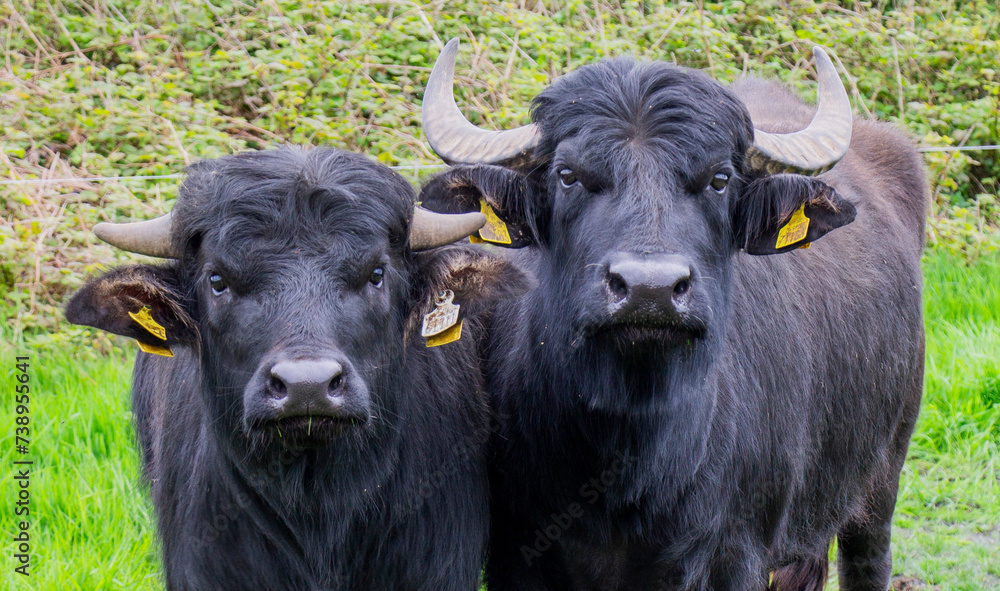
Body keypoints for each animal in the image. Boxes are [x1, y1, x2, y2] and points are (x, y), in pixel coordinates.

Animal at [419, 39, 927, 591]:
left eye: (720, 179)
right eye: (568, 175)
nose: (650, 290)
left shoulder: (736, 556)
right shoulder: (518, 557)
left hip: (884, 475)